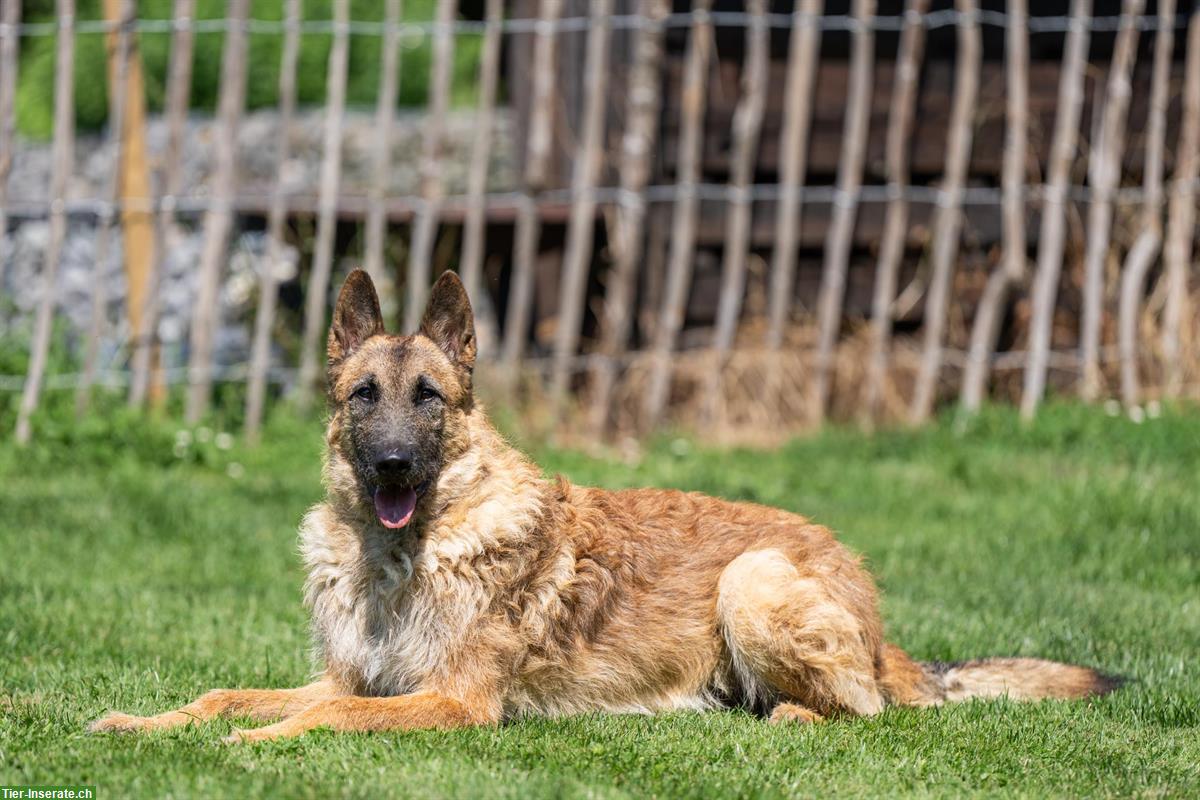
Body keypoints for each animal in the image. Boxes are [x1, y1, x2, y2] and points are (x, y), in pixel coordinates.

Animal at [88, 271, 1118, 743]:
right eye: (363, 397)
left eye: (429, 399)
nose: (390, 465)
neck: (406, 556)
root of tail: (866, 600)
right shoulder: (354, 677)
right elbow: (227, 694)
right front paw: (147, 727)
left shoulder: (450, 703)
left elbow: (321, 719)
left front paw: (257, 745)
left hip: (752, 581)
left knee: (861, 710)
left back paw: (792, 719)